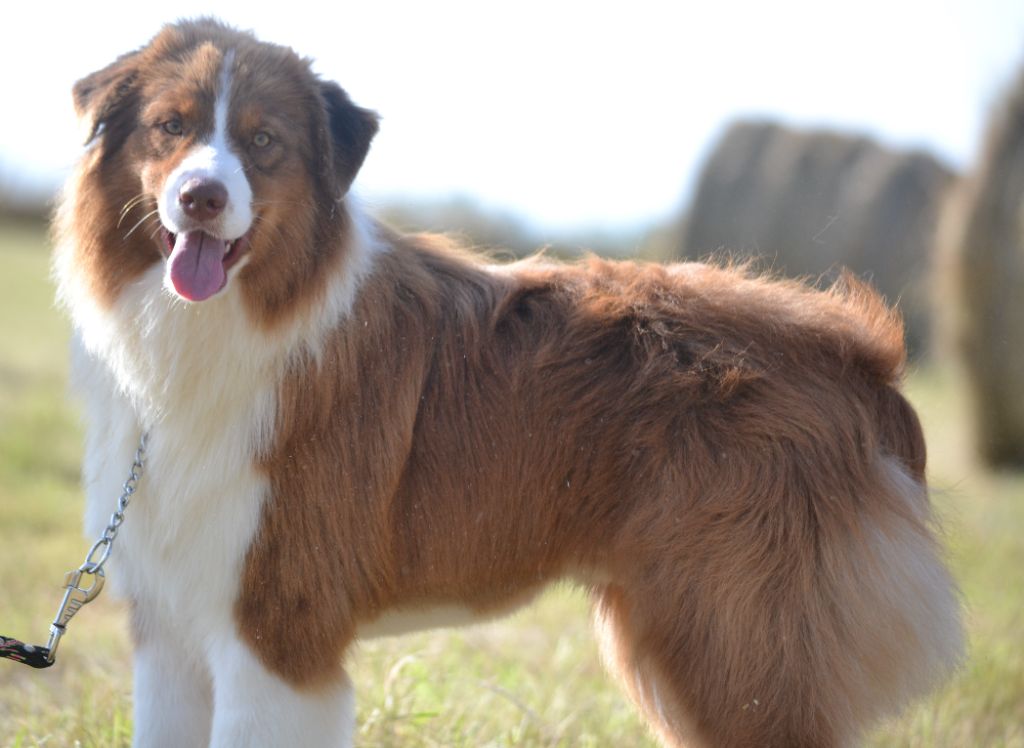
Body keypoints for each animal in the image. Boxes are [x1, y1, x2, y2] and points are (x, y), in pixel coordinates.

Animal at [54, 16, 958, 745]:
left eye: (263, 141)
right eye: (170, 127)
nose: (202, 198)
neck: (214, 326)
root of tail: (860, 350)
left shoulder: (275, 629)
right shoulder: (170, 631)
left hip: (735, 647)